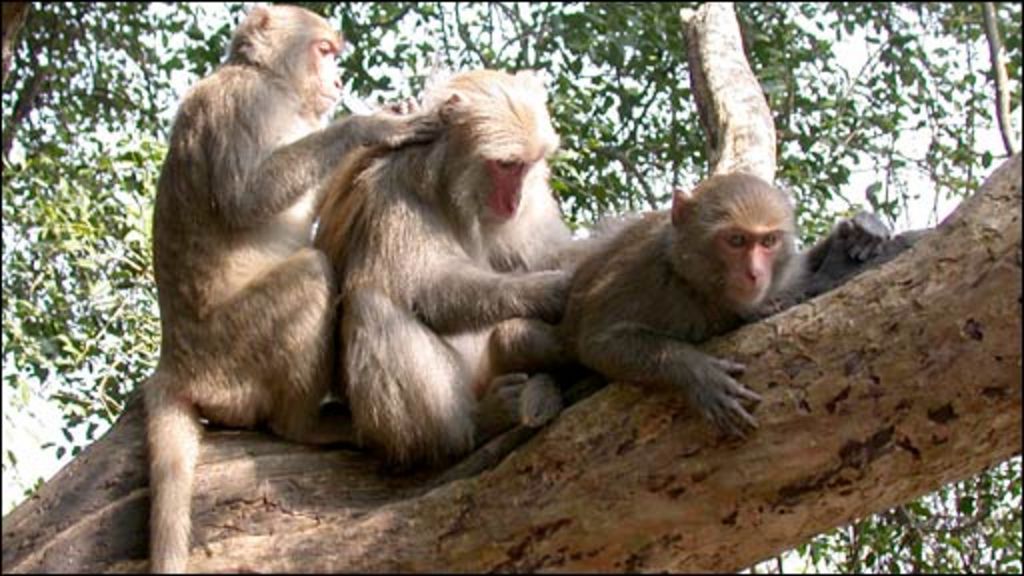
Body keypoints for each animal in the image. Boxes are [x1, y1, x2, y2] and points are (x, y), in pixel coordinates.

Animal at [145, 5, 440, 572]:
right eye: (325, 52)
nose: (339, 80)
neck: (270, 79)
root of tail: (175, 365)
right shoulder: (245, 105)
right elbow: (246, 197)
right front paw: (372, 123)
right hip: (231, 354)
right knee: (310, 275)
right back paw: (302, 427)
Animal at [314, 69, 575, 467]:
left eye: (527, 165)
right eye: (506, 165)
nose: (514, 202)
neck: (446, 186)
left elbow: (548, 252)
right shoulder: (393, 186)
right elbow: (423, 286)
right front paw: (549, 290)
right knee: (372, 303)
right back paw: (470, 429)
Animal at [557, 172, 892, 438]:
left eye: (768, 242)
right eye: (736, 240)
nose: (754, 273)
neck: (693, 282)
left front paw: (861, 232)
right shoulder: (643, 269)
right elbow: (599, 342)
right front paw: (697, 372)